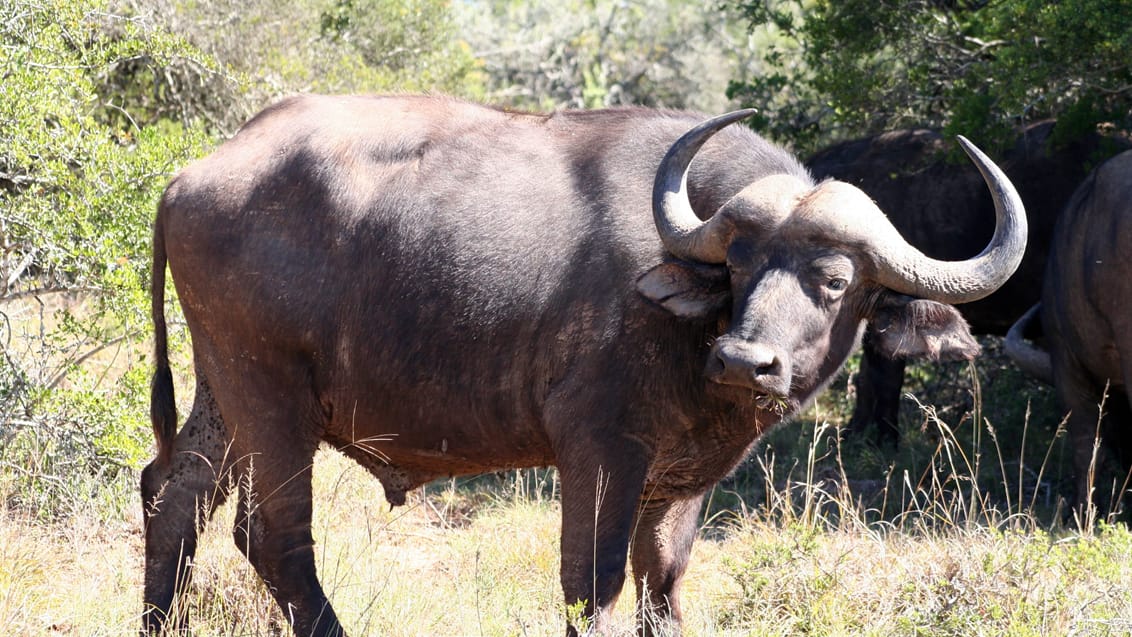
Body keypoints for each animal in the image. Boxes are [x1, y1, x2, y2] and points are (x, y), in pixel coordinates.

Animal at [141, 92, 1027, 633]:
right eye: (740, 262)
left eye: (835, 279)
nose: (745, 360)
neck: (690, 333)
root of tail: (192, 175)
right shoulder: (600, 451)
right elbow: (591, 586)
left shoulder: (682, 480)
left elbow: (662, 586)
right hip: (271, 395)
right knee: (273, 535)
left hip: (224, 390)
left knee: (172, 495)